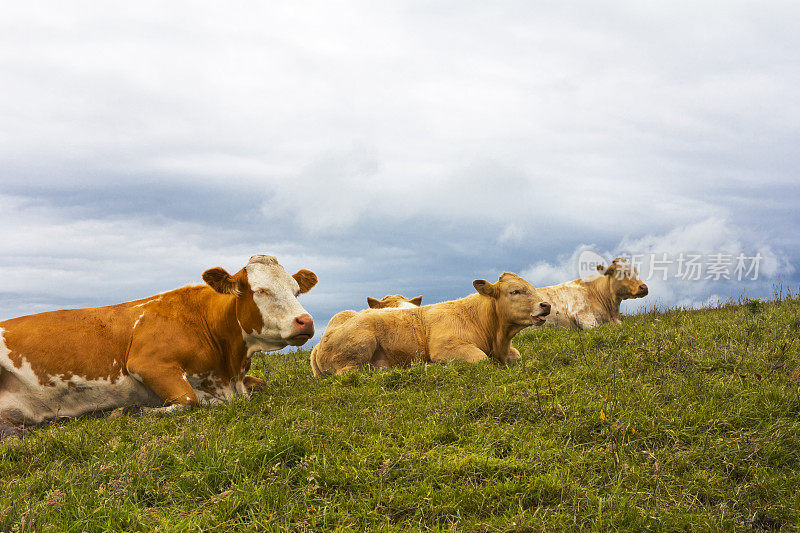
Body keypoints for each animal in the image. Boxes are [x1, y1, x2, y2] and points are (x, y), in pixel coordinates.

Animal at [0, 251, 318, 434]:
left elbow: (260, 385)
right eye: (261, 290)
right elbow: (190, 401)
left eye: (295, 290)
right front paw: (127, 410)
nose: (306, 321)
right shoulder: (147, 363)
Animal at [308, 272, 552, 376]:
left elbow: (517, 356)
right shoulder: (446, 346)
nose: (546, 305)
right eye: (515, 291)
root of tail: (320, 342)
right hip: (361, 342)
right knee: (353, 374)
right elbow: (481, 359)